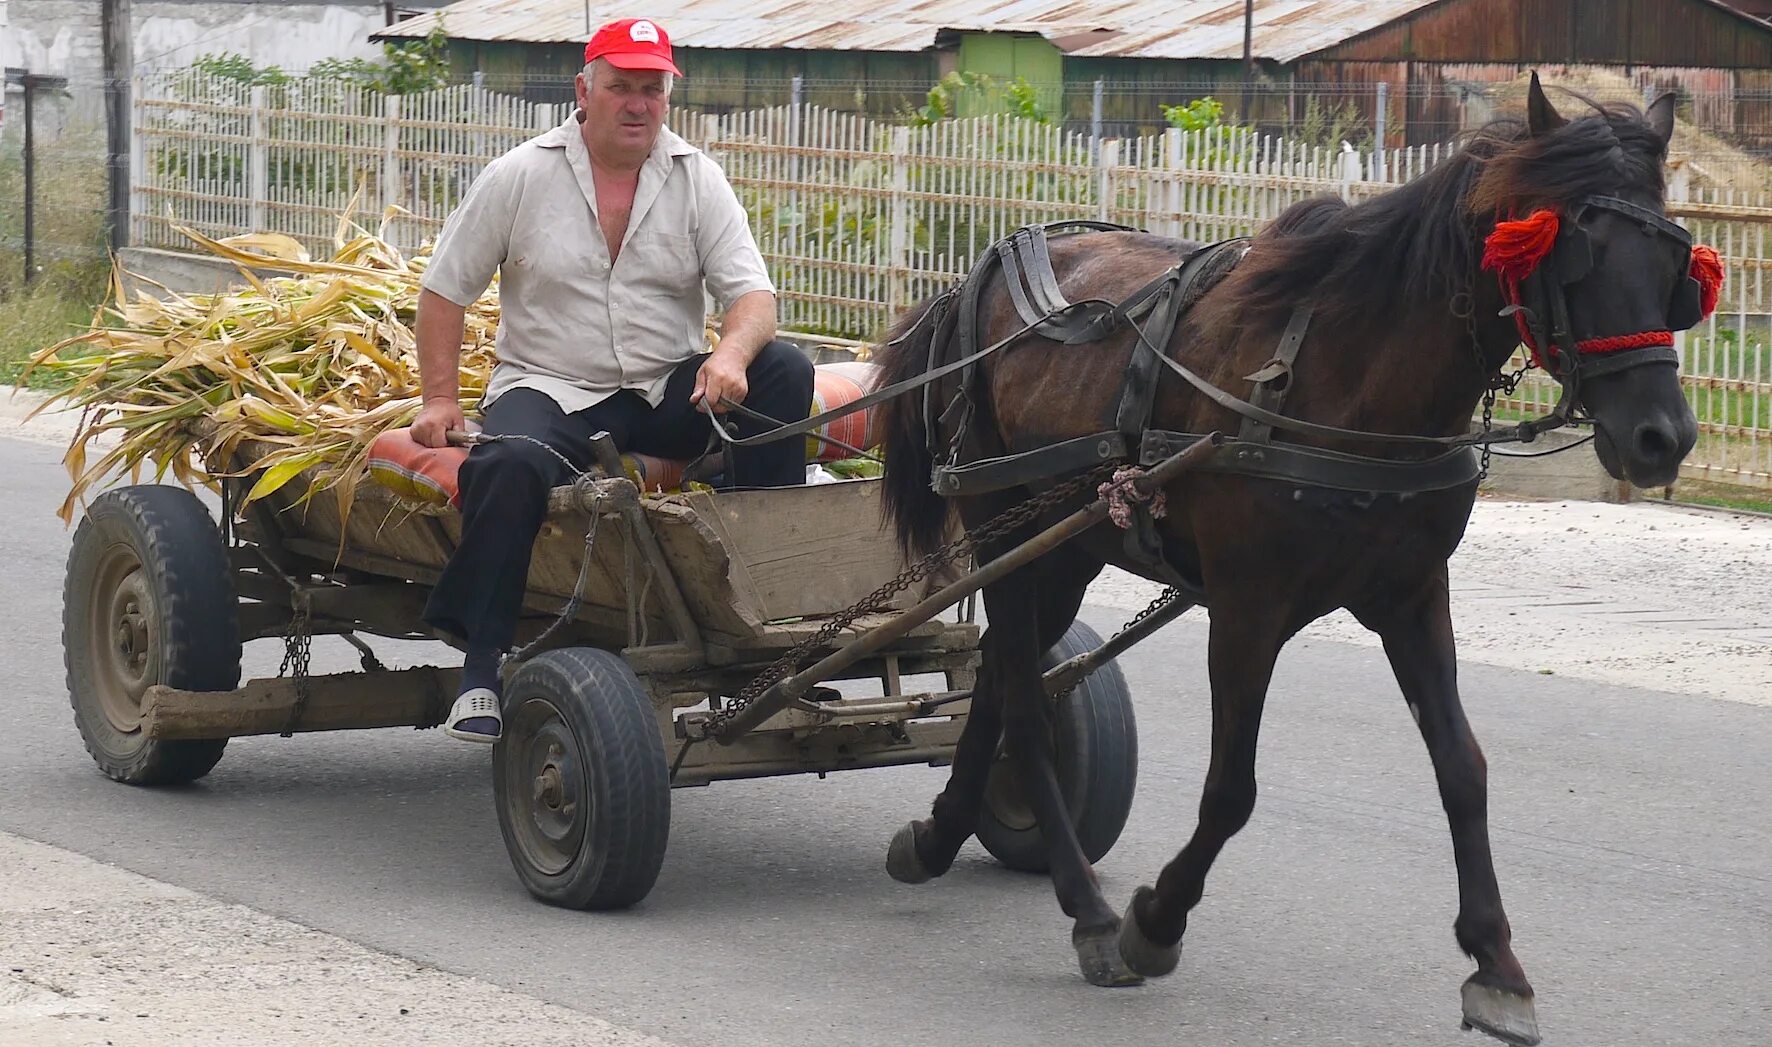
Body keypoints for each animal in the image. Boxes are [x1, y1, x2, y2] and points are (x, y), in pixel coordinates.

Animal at [871, 75, 1701, 1047]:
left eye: (1677, 264)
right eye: (1578, 254)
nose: (1663, 437)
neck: (1353, 379)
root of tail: (985, 271)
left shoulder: (1413, 597)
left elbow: (1464, 769)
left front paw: (1497, 963)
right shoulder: (1247, 609)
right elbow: (1232, 788)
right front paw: (1156, 919)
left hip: (1065, 548)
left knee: (1004, 683)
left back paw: (943, 833)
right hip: (999, 529)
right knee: (1027, 709)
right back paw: (1090, 911)